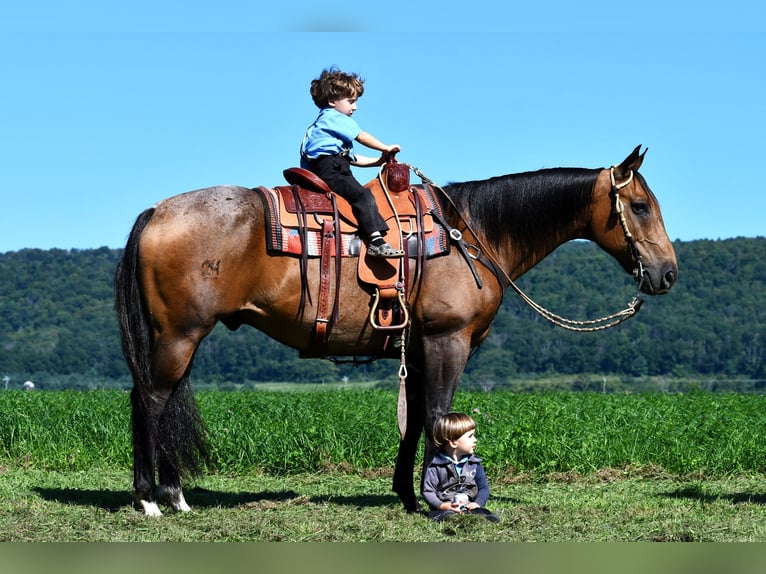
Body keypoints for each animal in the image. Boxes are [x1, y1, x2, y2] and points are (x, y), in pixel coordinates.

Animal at [114, 144, 680, 516]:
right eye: (639, 206)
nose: (668, 273)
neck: (469, 233)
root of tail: (157, 211)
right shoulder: (448, 341)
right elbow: (437, 414)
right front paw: (438, 498)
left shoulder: (418, 347)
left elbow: (412, 421)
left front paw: (408, 494)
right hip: (178, 334)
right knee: (151, 401)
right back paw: (149, 499)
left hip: (183, 337)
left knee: (162, 402)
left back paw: (175, 496)